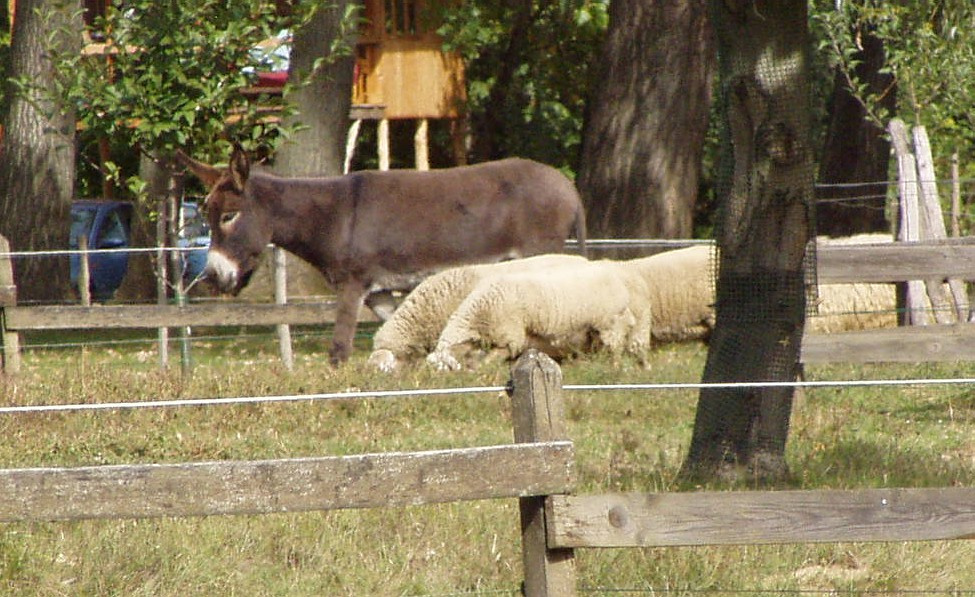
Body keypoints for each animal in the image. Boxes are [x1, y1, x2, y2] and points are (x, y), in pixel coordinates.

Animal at [428, 260, 656, 370]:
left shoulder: (510, 336)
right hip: (593, 332)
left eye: (447, 368)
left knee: (615, 350)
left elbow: (492, 359)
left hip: (610, 324)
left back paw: (614, 370)